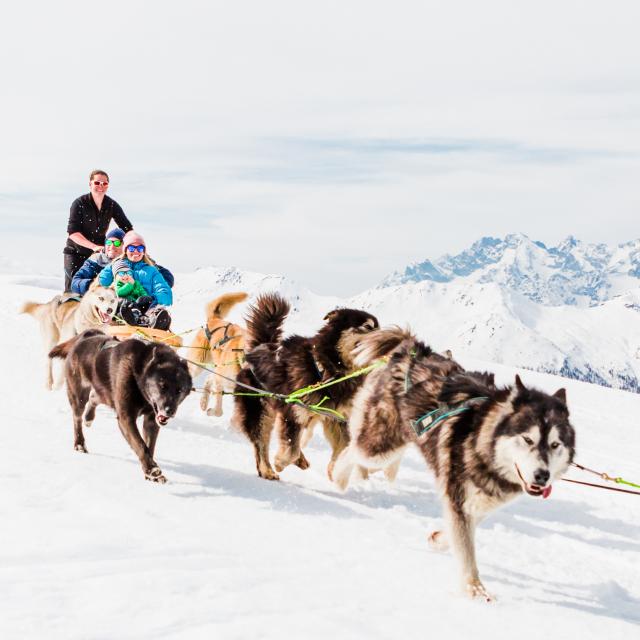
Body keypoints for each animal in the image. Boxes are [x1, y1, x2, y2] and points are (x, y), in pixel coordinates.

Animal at [48, 330, 191, 480]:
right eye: (162, 385)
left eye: (179, 390)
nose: (170, 410)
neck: (138, 372)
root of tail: (86, 335)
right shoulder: (126, 418)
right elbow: (140, 444)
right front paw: (152, 469)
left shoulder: (151, 420)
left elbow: (149, 445)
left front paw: (149, 472)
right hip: (79, 397)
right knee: (77, 419)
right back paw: (80, 443)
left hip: (106, 393)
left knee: (94, 398)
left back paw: (89, 418)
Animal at [184, 292, 249, 420]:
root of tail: (215, 319)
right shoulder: (221, 380)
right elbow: (219, 411)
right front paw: (213, 412)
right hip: (198, 365)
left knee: (209, 378)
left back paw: (203, 402)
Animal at [231, 294, 378, 480]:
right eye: (367, 326)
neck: (325, 369)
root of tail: (258, 348)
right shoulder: (294, 411)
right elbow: (290, 449)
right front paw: (280, 462)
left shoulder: (336, 418)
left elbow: (343, 447)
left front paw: (334, 470)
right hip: (261, 412)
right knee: (261, 444)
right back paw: (267, 470)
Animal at [332, 328, 576, 604]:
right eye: (528, 439)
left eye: (555, 444)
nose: (542, 475)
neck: (482, 446)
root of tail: (412, 349)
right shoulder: (459, 498)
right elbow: (466, 551)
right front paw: (475, 589)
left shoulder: (475, 504)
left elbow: (460, 533)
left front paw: (439, 538)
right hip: (380, 446)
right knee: (353, 450)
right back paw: (337, 478)